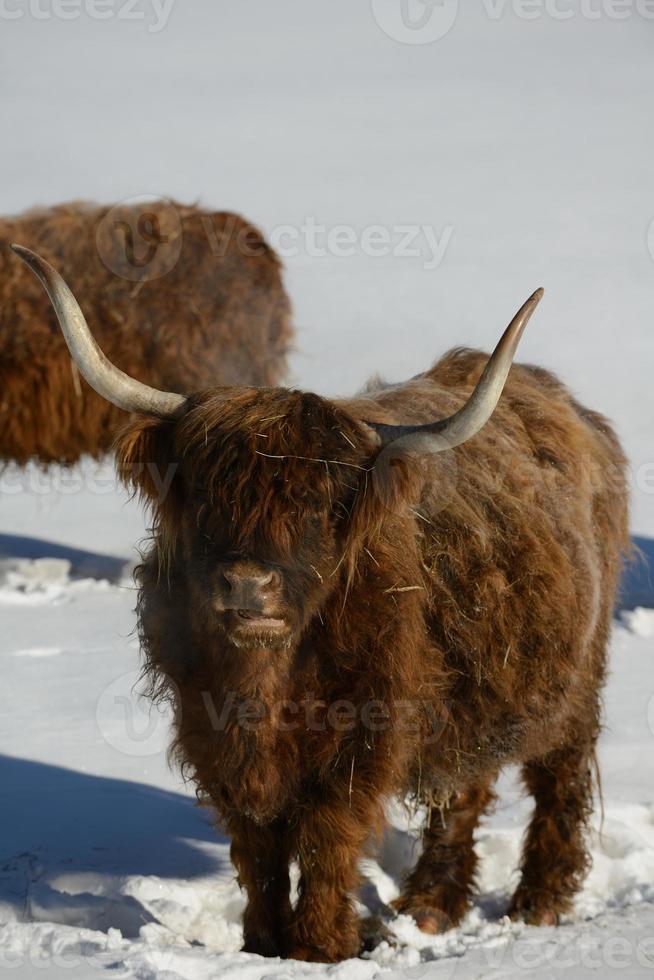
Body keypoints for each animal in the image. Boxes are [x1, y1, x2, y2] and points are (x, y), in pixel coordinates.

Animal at [14, 245, 632, 964]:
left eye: (319, 504)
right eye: (207, 496)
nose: (246, 585)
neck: (268, 685)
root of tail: (570, 408)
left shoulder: (362, 738)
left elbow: (327, 838)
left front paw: (318, 946)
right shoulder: (214, 736)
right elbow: (256, 848)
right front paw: (261, 942)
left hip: (575, 679)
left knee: (557, 779)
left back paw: (538, 903)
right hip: (469, 692)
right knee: (462, 786)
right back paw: (429, 907)